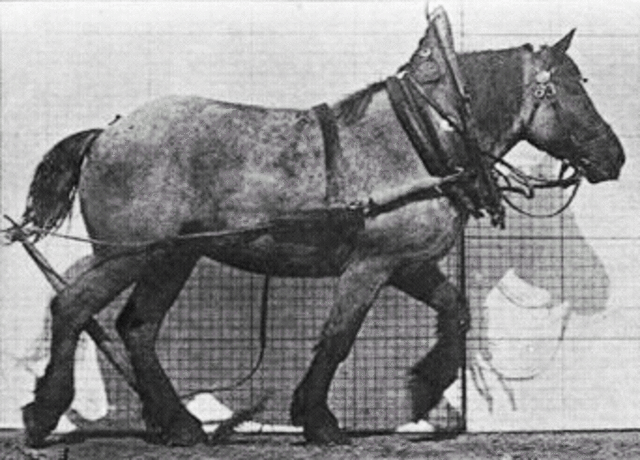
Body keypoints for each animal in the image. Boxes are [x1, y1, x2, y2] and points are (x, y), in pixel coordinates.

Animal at [14, 7, 624, 447]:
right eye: (572, 87)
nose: (614, 157)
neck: (425, 139)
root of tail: (106, 132)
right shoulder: (372, 263)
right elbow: (338, 337)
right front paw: (319, 419)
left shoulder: (406, 263)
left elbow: (456, 308)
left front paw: (426, 386)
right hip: (131, 252)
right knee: (73, 307)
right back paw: (44, 415)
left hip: (173, 256)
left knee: (138, 327)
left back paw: (181, 425)